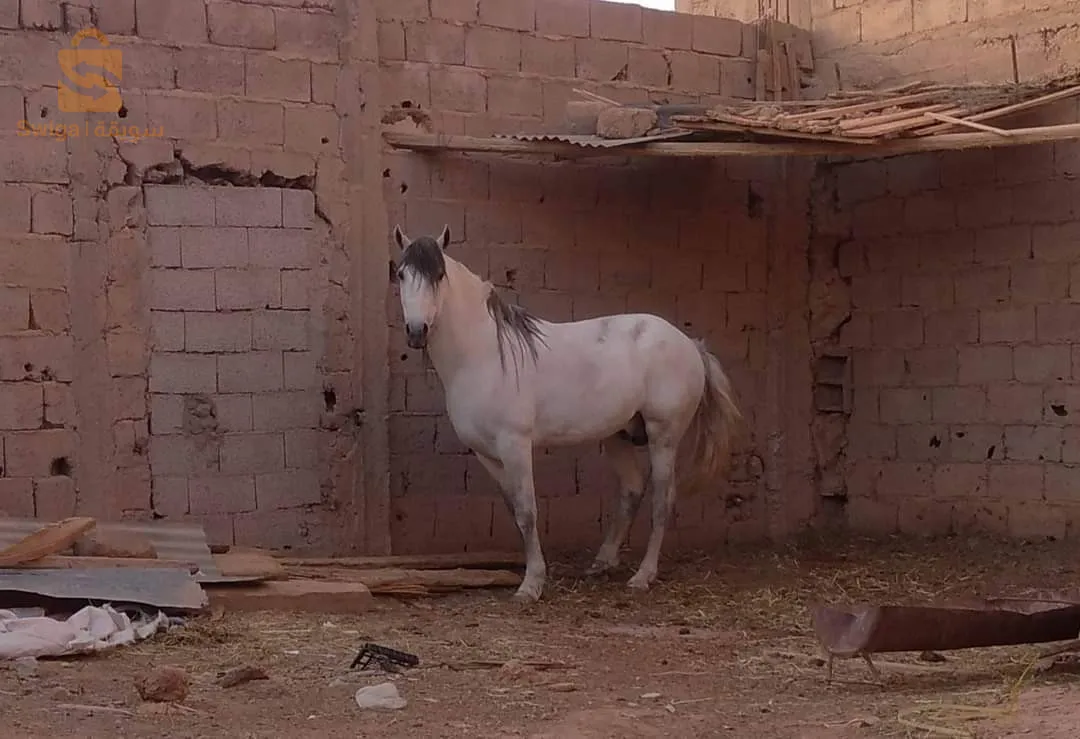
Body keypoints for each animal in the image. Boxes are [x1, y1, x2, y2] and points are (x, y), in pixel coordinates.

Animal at [390, 224, 744, 602]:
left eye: (439, 275)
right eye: (401, 274)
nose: (417, 331)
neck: (483, 353)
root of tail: (690, 344)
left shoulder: (515, 445)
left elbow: (528, 512)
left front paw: (531, 585)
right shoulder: (488, 455)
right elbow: (514, 509)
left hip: (663, 436)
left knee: (663, 501)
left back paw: (642, 576)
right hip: (617, 435)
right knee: (631, 491)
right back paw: (602, 563)